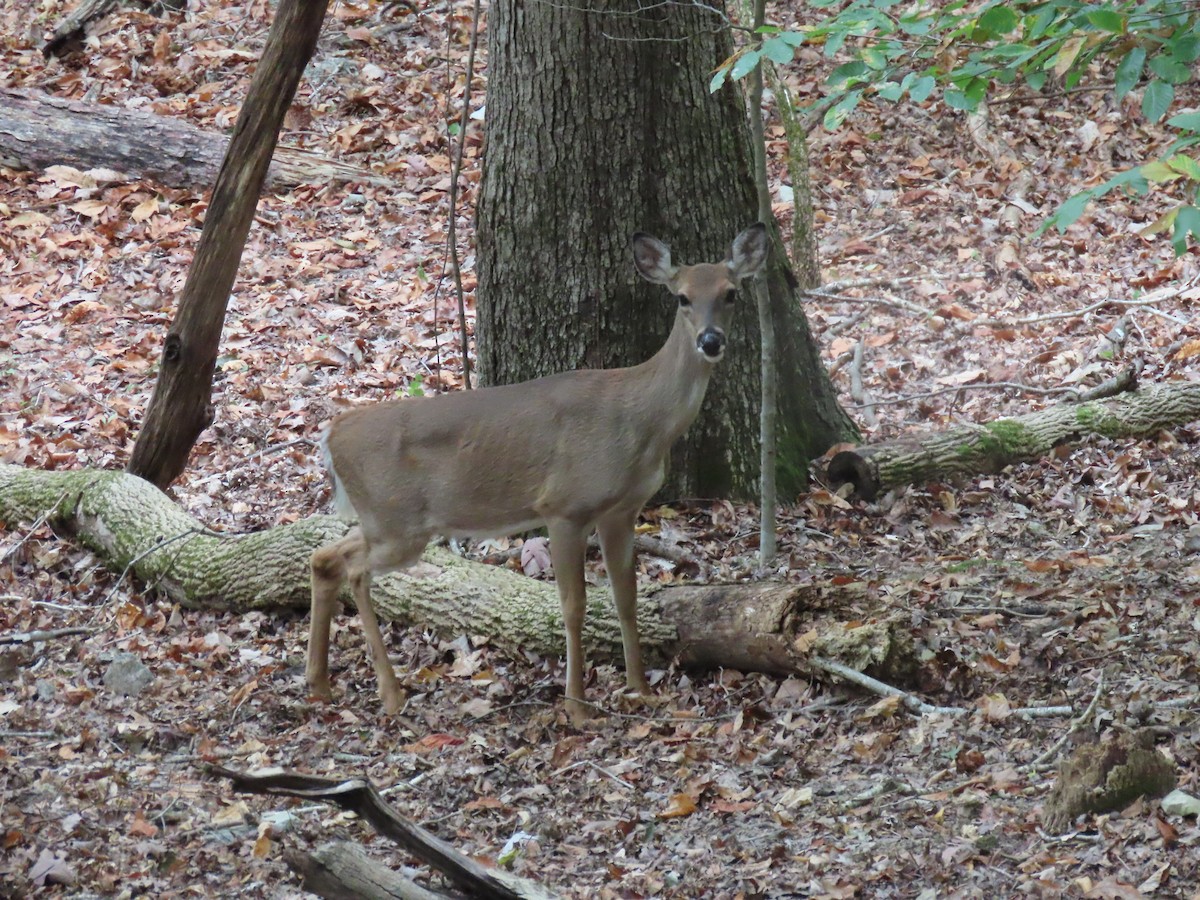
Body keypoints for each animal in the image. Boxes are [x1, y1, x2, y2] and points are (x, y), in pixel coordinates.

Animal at [306, 223, 769, 723]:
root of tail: (331, 434)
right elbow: (573, 606)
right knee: (354, 570)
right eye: (682, 297)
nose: (710, 341)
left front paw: (640, 688)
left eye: (731, 293)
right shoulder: (565, 506)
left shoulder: (621, 509)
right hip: (397, 524)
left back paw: (319, 684)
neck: (642, 420)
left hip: (385, 520)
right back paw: (390, 693)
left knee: (325, 557)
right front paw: (577, 706)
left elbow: (625, 596)